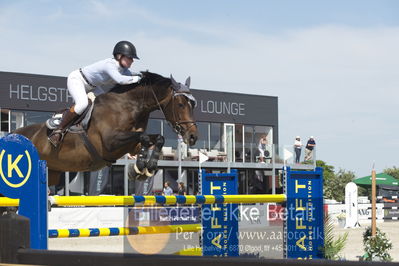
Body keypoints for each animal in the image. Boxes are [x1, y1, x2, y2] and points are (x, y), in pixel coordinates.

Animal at [14, 71, 198, 186]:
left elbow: (157, 138)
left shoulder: (131, 145)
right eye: (180, 104)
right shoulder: (111, 142)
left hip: (52, 172)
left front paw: (145, 168)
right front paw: (140, 167)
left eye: (193, 104)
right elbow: (145, 137)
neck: (129, 106)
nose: (193, 136)